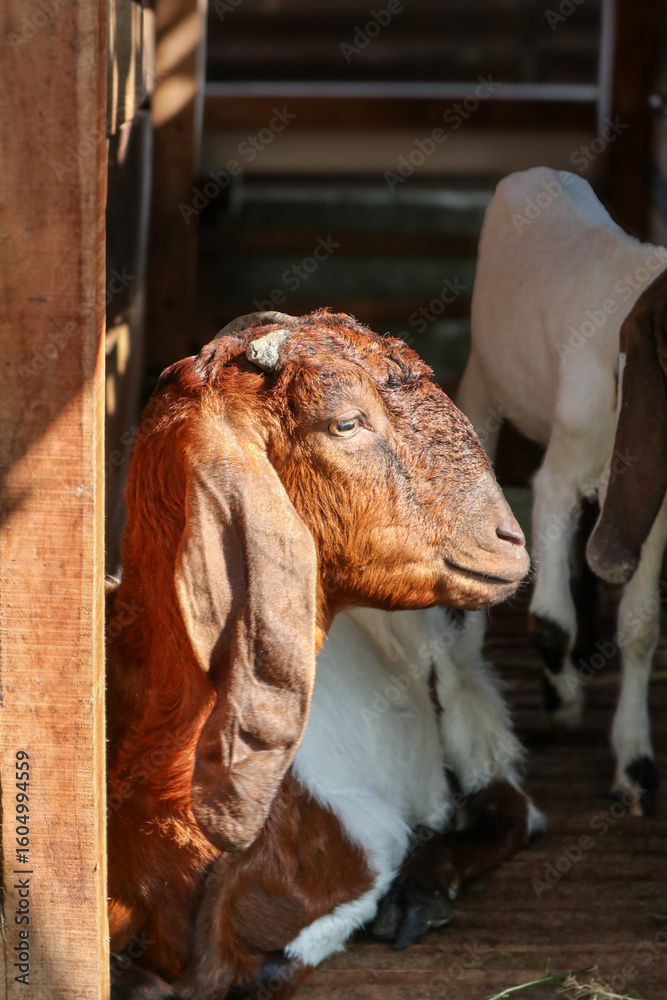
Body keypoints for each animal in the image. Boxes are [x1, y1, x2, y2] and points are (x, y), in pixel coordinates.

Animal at [106, 308, 531, 999]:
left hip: (457, 674)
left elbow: (263, 965)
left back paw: (425, 888)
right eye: (346, 422)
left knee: (506, 798)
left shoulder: (367, 835)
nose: (510, 540)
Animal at [458, 167, 667, 814]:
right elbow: (550, 622)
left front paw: (635, 764)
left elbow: (641, 626)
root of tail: (538, 174)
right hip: (482, 383)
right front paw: (565, 700)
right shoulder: (558, 477)